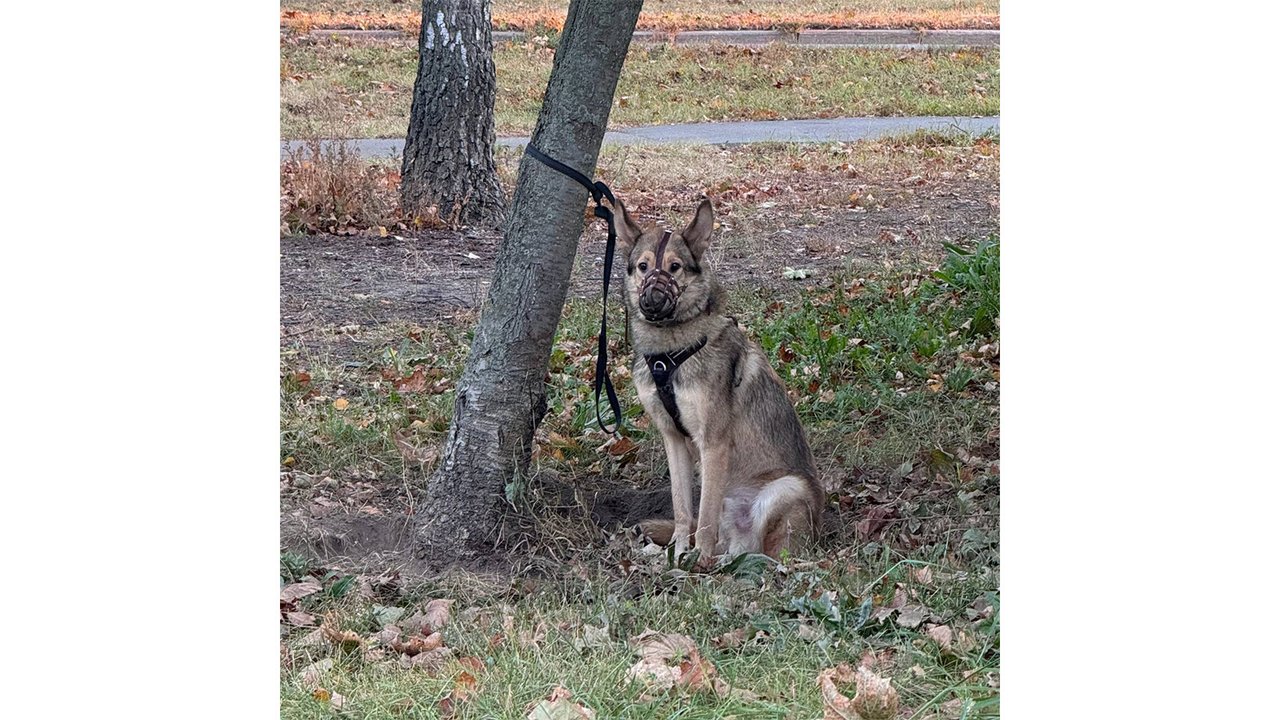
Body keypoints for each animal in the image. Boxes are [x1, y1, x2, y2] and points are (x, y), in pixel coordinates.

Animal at [614, 196, 824, 561]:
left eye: (674, 267)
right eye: (643, 266)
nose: (652, 301)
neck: (670, 354)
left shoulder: (713, 443)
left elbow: (705, 517)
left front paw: (695, 557)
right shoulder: (673, 440)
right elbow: (684, 509)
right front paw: (679, 553)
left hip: (785, 488)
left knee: (767, 553)